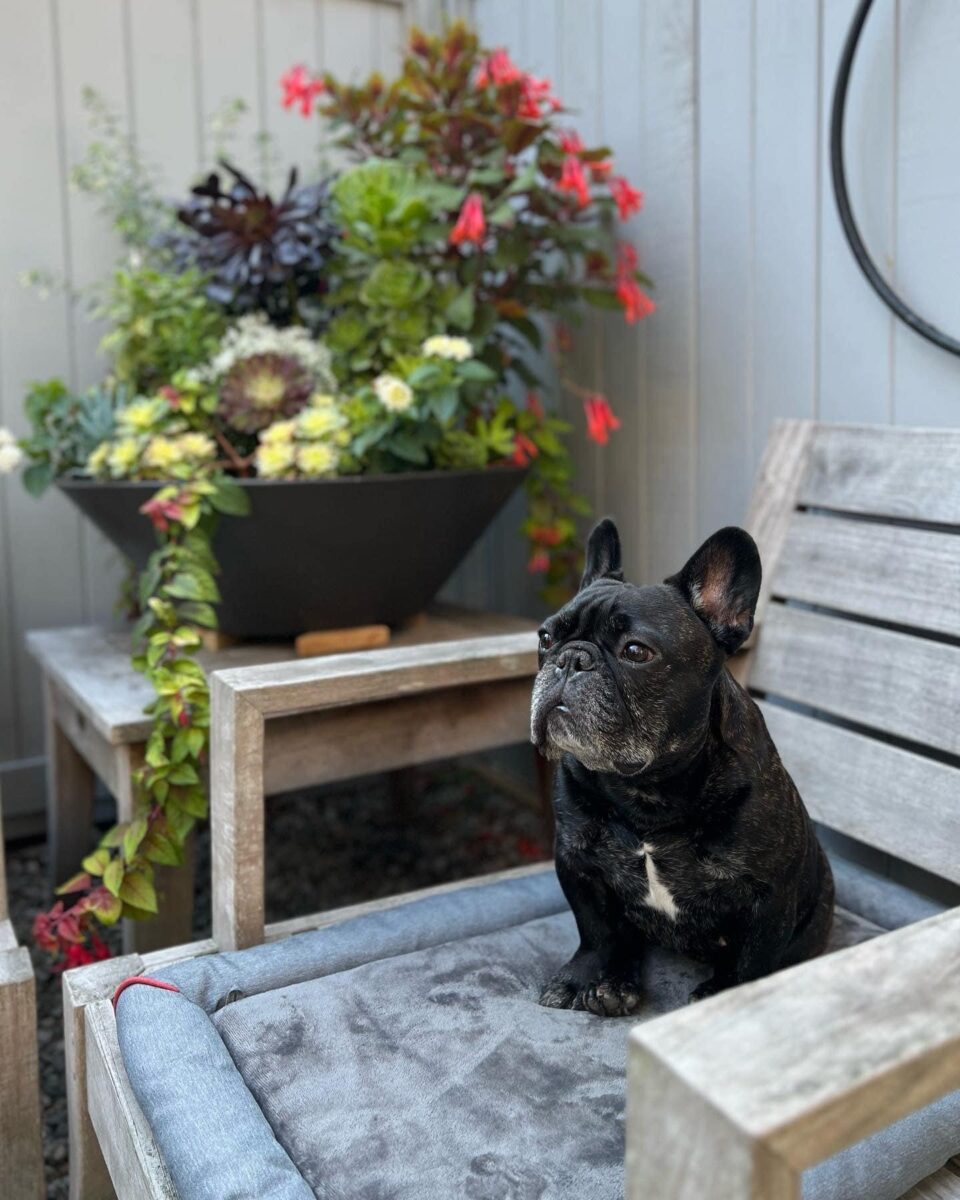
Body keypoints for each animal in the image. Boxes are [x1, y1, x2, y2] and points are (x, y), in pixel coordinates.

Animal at [528, 520, 835, 1017]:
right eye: (546, 638)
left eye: (636, 651)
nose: (571, 658)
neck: (648, 788)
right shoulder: (576, 860)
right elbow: (595, 930)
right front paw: (582, 976)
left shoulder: (767, 898)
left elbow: (752, 963)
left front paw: (732, 999)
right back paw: (614, 983)